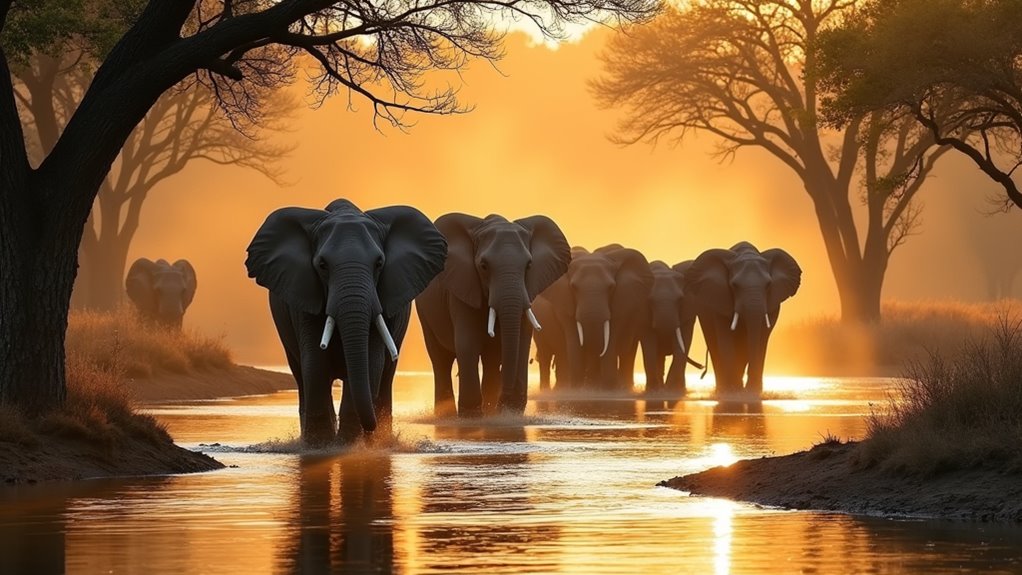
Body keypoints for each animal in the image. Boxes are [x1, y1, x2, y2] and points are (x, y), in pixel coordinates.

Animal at [245, 199, 447, 446]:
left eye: (379, 263)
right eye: (322, 265)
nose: (371, 428)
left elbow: (371, 363)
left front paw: (348, 445)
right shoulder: (304, 298)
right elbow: (315, 363)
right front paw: (322, 446)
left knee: (386, 375)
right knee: (301, 375)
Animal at [415, 213, 570, 417]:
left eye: (529, 265)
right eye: (483, 266)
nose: (504, 402)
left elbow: (522, 341)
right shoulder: (462, 289)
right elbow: (467, 343)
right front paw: (471, 416)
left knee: (490, 360)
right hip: (424, 312)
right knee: (440, 360)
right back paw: (446, 416)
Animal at [539, 245, 654, 390]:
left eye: (611, 287)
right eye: (573, 287)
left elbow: (610, 339)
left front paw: (608, 390)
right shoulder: (564, 305)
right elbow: (574, 341)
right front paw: (578, 390)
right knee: (545, 355)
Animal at [639, 260, 700, 395]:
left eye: (680, 300)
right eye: (650, 300)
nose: (702, 367)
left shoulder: (688, 314)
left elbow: (683, 343)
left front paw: (673, 390)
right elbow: (649, 344)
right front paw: (654, 391)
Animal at [685, 241, 801, 395]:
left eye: (768, 285)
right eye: (734, 285)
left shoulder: (772, 305)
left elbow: (761, 338)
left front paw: (751, 392)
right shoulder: (720, 299)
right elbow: (725, 337)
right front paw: (734, 392)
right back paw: (723, 389)